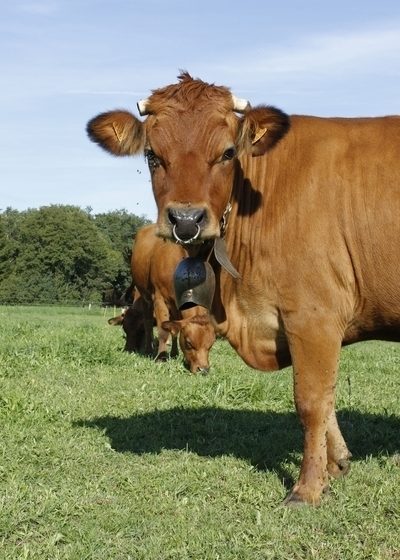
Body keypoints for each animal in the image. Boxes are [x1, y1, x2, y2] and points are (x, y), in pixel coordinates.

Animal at [130, 223, 216, 372]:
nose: (203, 370)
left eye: (210, 345)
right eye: (188, 342)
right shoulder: (159, 298)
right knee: (147, 322)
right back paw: (148, 349)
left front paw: (175, 354)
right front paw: (161, 357)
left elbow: (174, 328)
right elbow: (163, 330)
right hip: (144, 295)